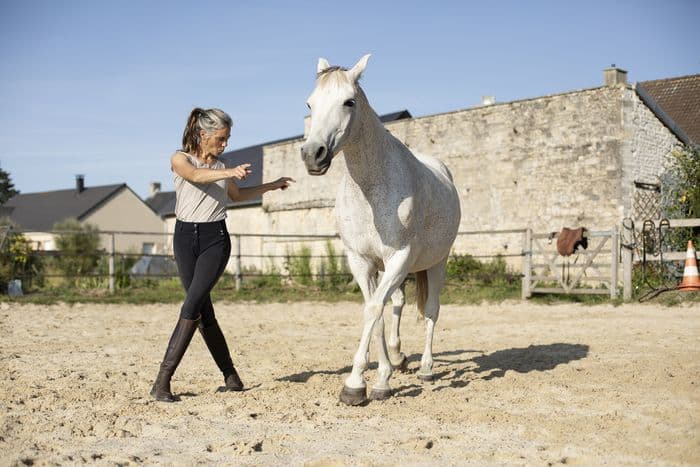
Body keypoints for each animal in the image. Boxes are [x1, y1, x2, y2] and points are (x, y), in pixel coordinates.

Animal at [300, 55, 461, 405]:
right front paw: (382, 377)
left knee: (431, 311)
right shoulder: (362, 261)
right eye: (310, 103)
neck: (371, 188)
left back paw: (426, 368)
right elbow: (376, 312)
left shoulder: (399, 257)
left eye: (349, 101)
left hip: (436, 263)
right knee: (398, 303)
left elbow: (374, 309)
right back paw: (400, 358)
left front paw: (354, 384)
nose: (312, 154)